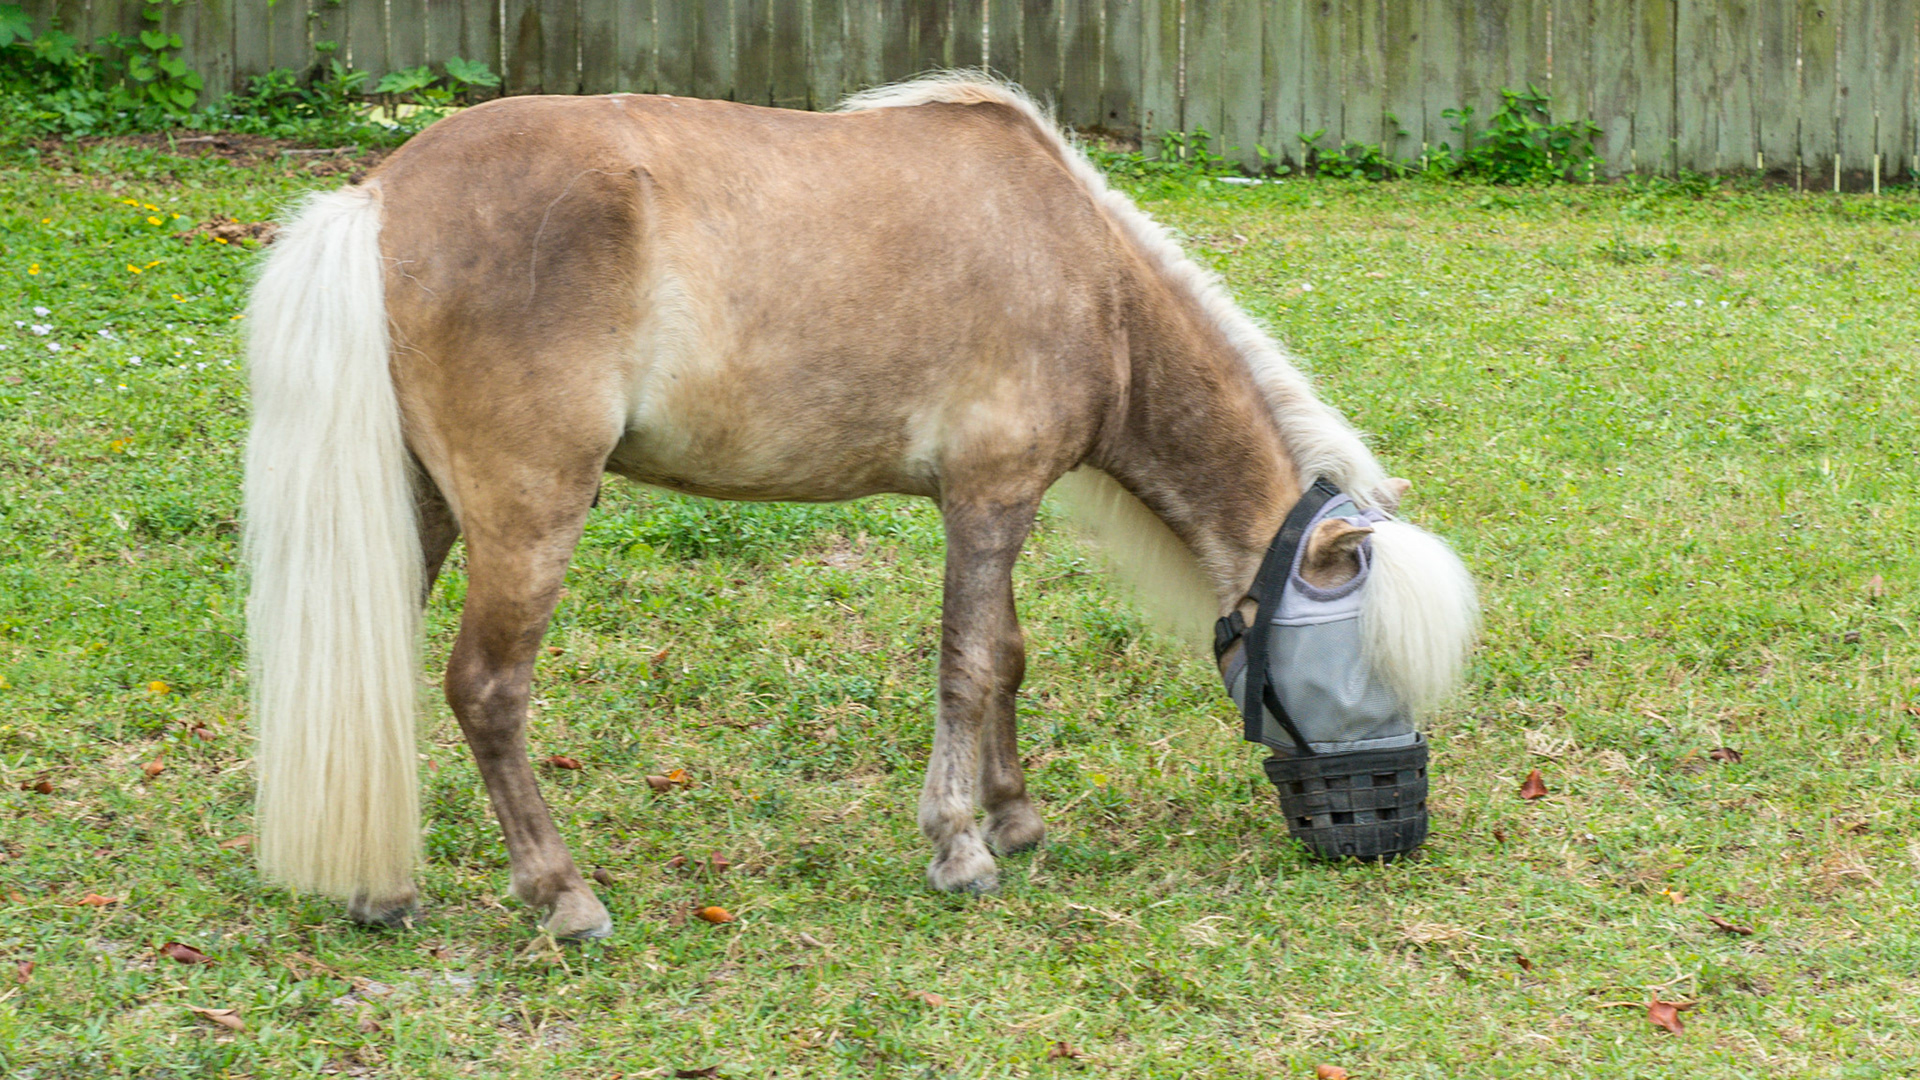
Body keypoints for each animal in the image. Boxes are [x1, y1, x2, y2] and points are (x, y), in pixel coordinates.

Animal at [243, 74, 1477, 939]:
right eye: (1362, 665)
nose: (1391, 831)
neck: (1085, 274)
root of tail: (378, 196)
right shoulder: (988, 500)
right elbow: (968, 666)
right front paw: (961, 849)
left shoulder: (993, 504)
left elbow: (1006, 657)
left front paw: (1016, 818)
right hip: (528, 516)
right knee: (486, 692)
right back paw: (563, 896)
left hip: (425, 507)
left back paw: (383, 889)